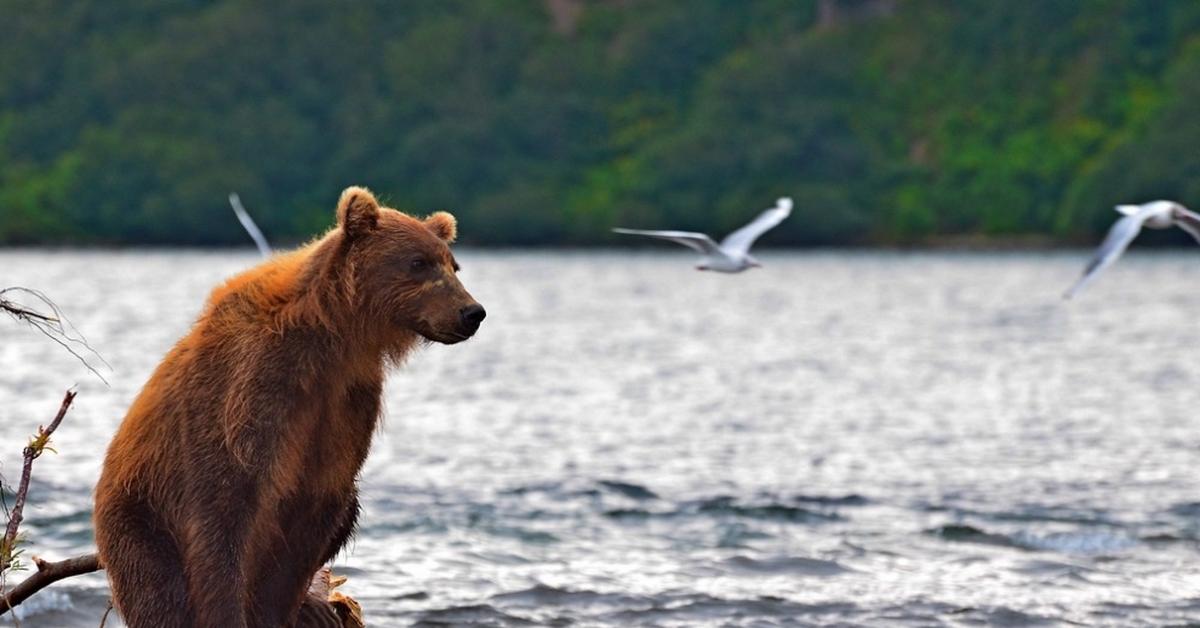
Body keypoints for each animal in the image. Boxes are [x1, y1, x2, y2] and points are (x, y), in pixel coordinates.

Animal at [91, 187, 482, 628]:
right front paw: (231, 613)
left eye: (453, 265)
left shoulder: (345, 402)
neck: (332, 339)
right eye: (418, 262)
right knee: (159, 588)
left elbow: (318, 505)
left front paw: (288, 607)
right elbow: (223, 510)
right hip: (140, 516)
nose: (472, 312)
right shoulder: (251, 390)